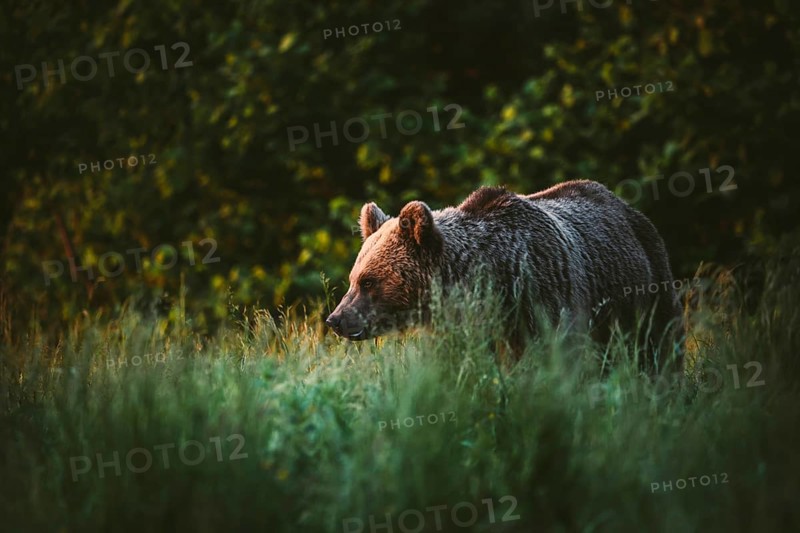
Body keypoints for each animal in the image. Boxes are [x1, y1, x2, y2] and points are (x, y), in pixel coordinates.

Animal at [325, 180, 684, 372]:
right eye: (354, 278)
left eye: (369, 281)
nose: (335, 319)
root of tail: (628, 208)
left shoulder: (544, 301)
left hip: (647, 288)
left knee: (660, 347)